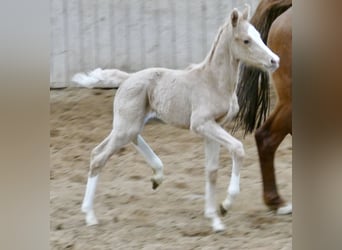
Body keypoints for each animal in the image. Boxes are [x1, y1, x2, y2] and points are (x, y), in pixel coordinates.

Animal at [79, 5, 280, 232]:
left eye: (259, 36)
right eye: (246, 40)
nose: (274, 61)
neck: (213, 82)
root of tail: (127, 78)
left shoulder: (213, 127)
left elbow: (211, 170)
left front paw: (214, 219)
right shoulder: (201, 124)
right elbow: (237, 148)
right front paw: (225, 206)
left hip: (130, 124)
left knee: (114, 145)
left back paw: (157, 175)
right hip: (126, 126)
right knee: (99, 157)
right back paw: (90, 215)